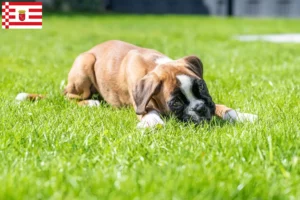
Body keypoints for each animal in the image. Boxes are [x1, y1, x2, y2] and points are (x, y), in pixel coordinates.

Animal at [15, 40, 256, 128]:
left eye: (202, 87)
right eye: (176, 103)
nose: (200, 109)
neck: (156, 65)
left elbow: (222, 107)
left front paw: (241, 115)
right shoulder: (142, 102)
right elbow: (149, 113)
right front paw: (153, 123)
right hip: (85, 64)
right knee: (71, 97)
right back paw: (91, 103)